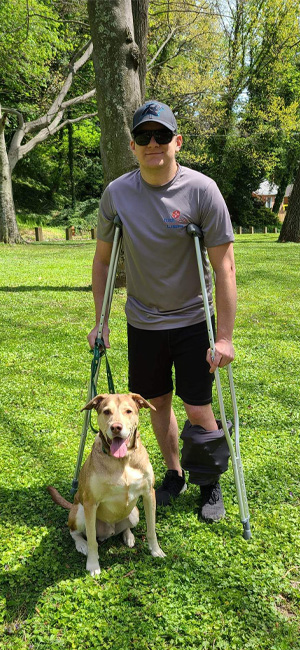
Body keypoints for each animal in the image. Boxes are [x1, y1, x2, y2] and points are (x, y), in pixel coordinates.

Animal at [47, 392, 165, 576]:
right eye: (106, 411)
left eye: (128, 411)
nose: (116, 427)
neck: (122, 461)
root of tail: (109, 532)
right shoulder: (90, 503)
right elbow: (92, 541)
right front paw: (93, 565)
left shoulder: (148, 494)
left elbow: (151, 529)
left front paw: (156, 550)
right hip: (79, 512)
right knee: (75, 532)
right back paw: (81, 544)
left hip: (134, 513)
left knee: (125, 527)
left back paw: (129, 536)